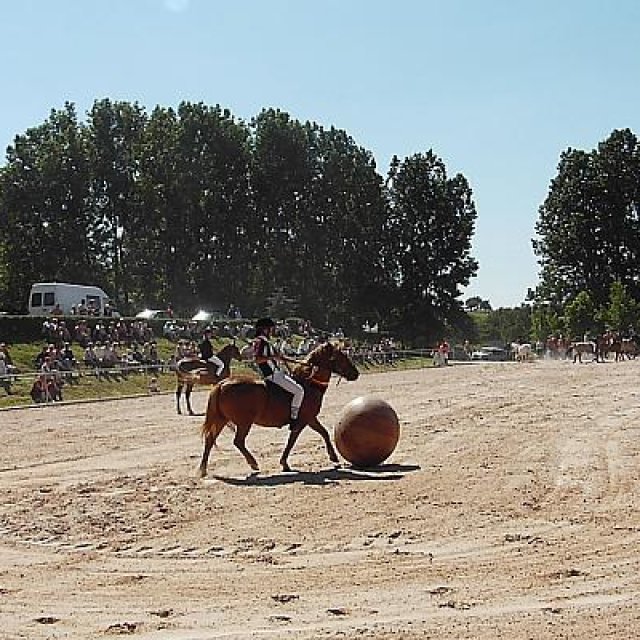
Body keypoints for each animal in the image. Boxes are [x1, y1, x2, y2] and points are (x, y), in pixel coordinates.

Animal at [198, 344, 360, 476]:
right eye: (341, 357)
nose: (356, 373)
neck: (309, 384)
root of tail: (222, 384)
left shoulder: (310, 419)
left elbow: (324, 433)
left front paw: (333, 456)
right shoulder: (304, 420)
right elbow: (292, 441)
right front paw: (284, 463)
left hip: (221, 419)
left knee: (210, 439)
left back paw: (203, 469)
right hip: (244, 423)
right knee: (238, 442)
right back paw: (253, 463)